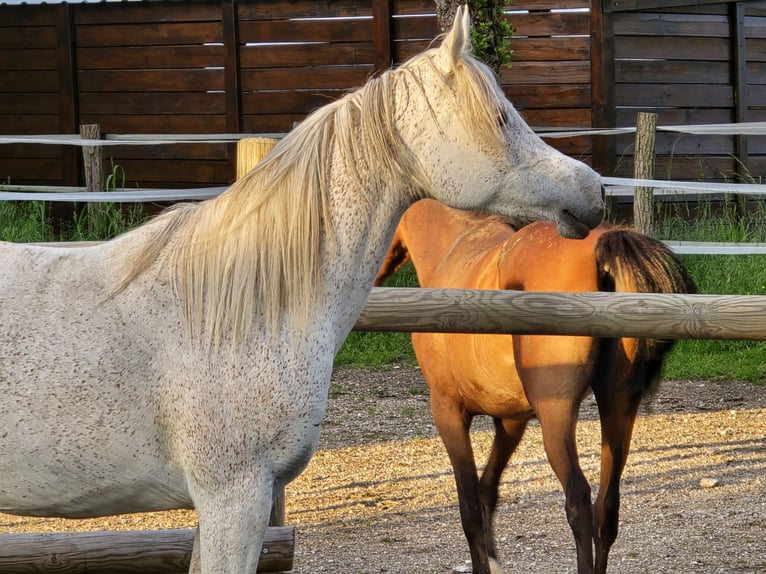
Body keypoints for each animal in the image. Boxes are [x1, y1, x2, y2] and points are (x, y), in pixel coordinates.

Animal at [375, 199, 695, 574]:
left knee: (579, 502)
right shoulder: (512, 420)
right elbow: (487, 489)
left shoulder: (448, 411)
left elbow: (470, 508)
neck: (453, 244)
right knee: (607, 508)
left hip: (556, 416)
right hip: (617, 408)